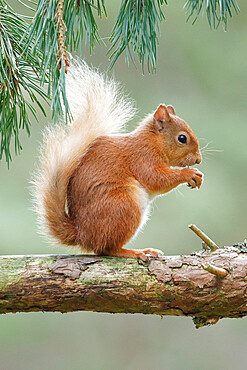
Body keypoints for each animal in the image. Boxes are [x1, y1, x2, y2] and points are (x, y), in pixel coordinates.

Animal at [33, 58, 204, 260]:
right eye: (182, 138)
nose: (198, 160)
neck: (152, 141)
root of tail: (82, 235)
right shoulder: (142, 156)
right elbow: (155, 179)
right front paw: (189, 173)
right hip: (123, 206)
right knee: (107, 249)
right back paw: (136, 252)